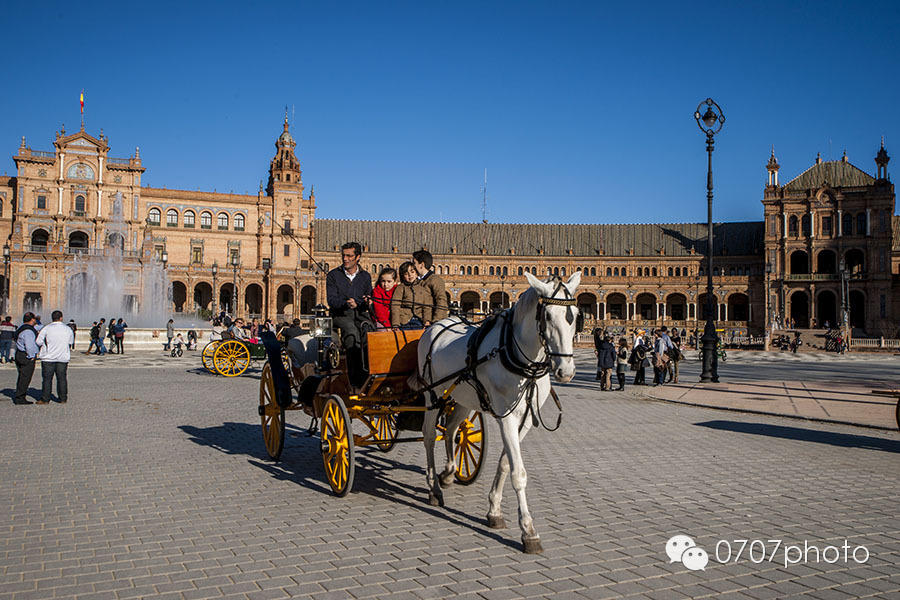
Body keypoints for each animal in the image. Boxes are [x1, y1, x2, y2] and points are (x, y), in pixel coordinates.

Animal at [416, 272, 580, 552]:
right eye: (547, 316)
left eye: (576, 315)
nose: (565, 371)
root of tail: (435, 325)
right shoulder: (506, 416)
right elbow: (518, 472)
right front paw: (528, 531)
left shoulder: (525, 420)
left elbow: (505, 463)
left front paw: (494, 510)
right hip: (432, 395)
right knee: (428, 437)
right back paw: (434, 489)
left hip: (463, 399)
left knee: (450, 431)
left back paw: (448, 473)